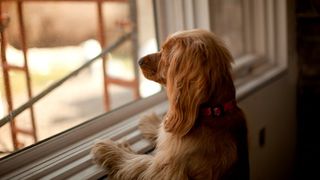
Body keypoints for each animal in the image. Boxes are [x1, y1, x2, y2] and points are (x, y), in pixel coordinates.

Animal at [91, 28, 249, 179]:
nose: (139, 60)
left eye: (166, 52)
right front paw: (150, 121)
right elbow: (162, 133)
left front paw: (109, 149)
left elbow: (138, 161)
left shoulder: (167, 170)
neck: (213, 113)